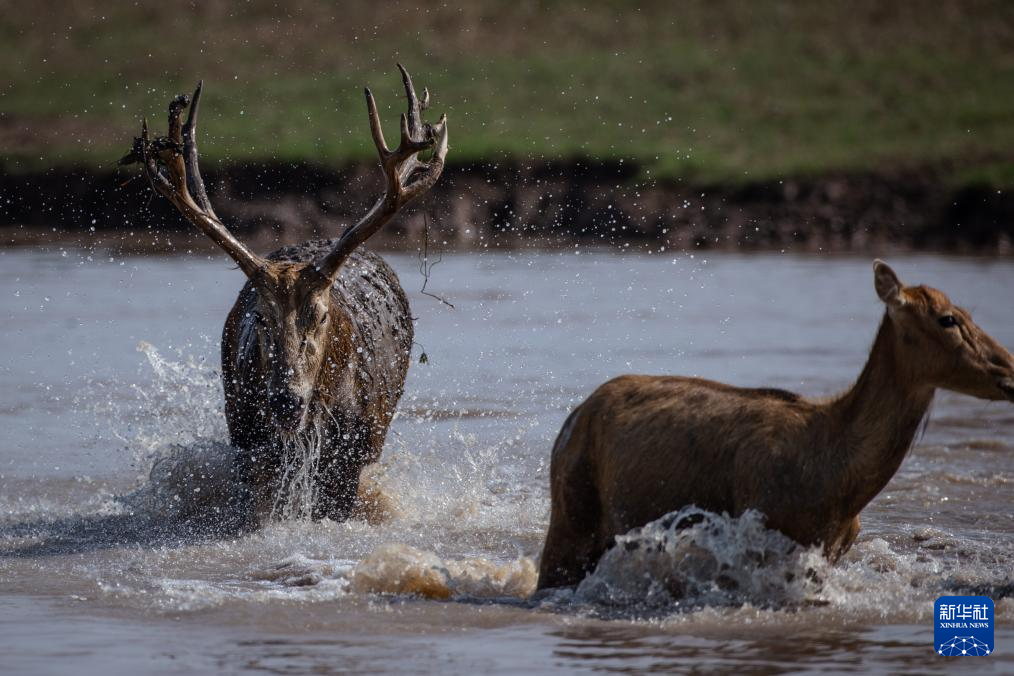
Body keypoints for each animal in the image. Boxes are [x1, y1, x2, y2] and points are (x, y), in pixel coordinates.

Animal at [537, 261, 1014, 589]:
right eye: (948, 318)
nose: (1009, 369)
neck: (841, 485)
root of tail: (572, 418)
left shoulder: (829, 552)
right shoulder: (763, 540)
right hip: (571, 516)